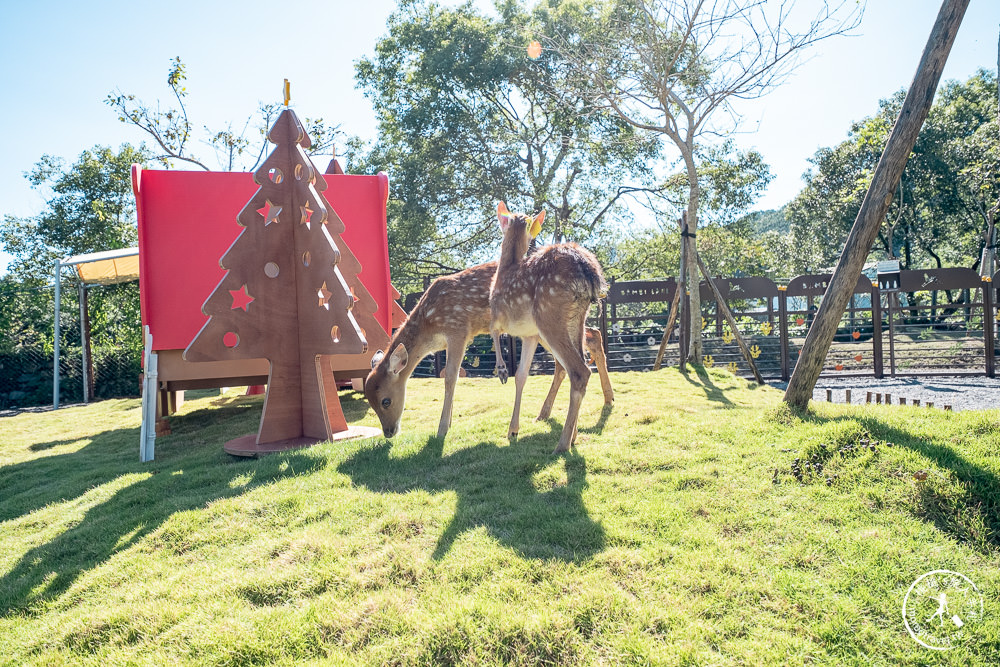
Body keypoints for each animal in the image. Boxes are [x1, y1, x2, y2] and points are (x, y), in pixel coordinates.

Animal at [360, 264, 608, 440]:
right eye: (369, 401)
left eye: (385, 401)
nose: (388, 432)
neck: (430, 327)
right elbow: (454, 378)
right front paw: (449, 421)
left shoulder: (458, 330)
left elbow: (450, 378)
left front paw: (442, 428)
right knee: (578, 351)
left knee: (590, 340)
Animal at [488, 204, 604, 454]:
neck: (504, 272)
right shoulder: (529, 335)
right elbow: (521, 375)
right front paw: (513, 430)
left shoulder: (498, 316)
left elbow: (494, 334)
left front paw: (501, 370)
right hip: (576, 319)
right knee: (579, 362)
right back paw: (573, 435)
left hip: (548, 316)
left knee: (579, 371)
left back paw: (562, 445)